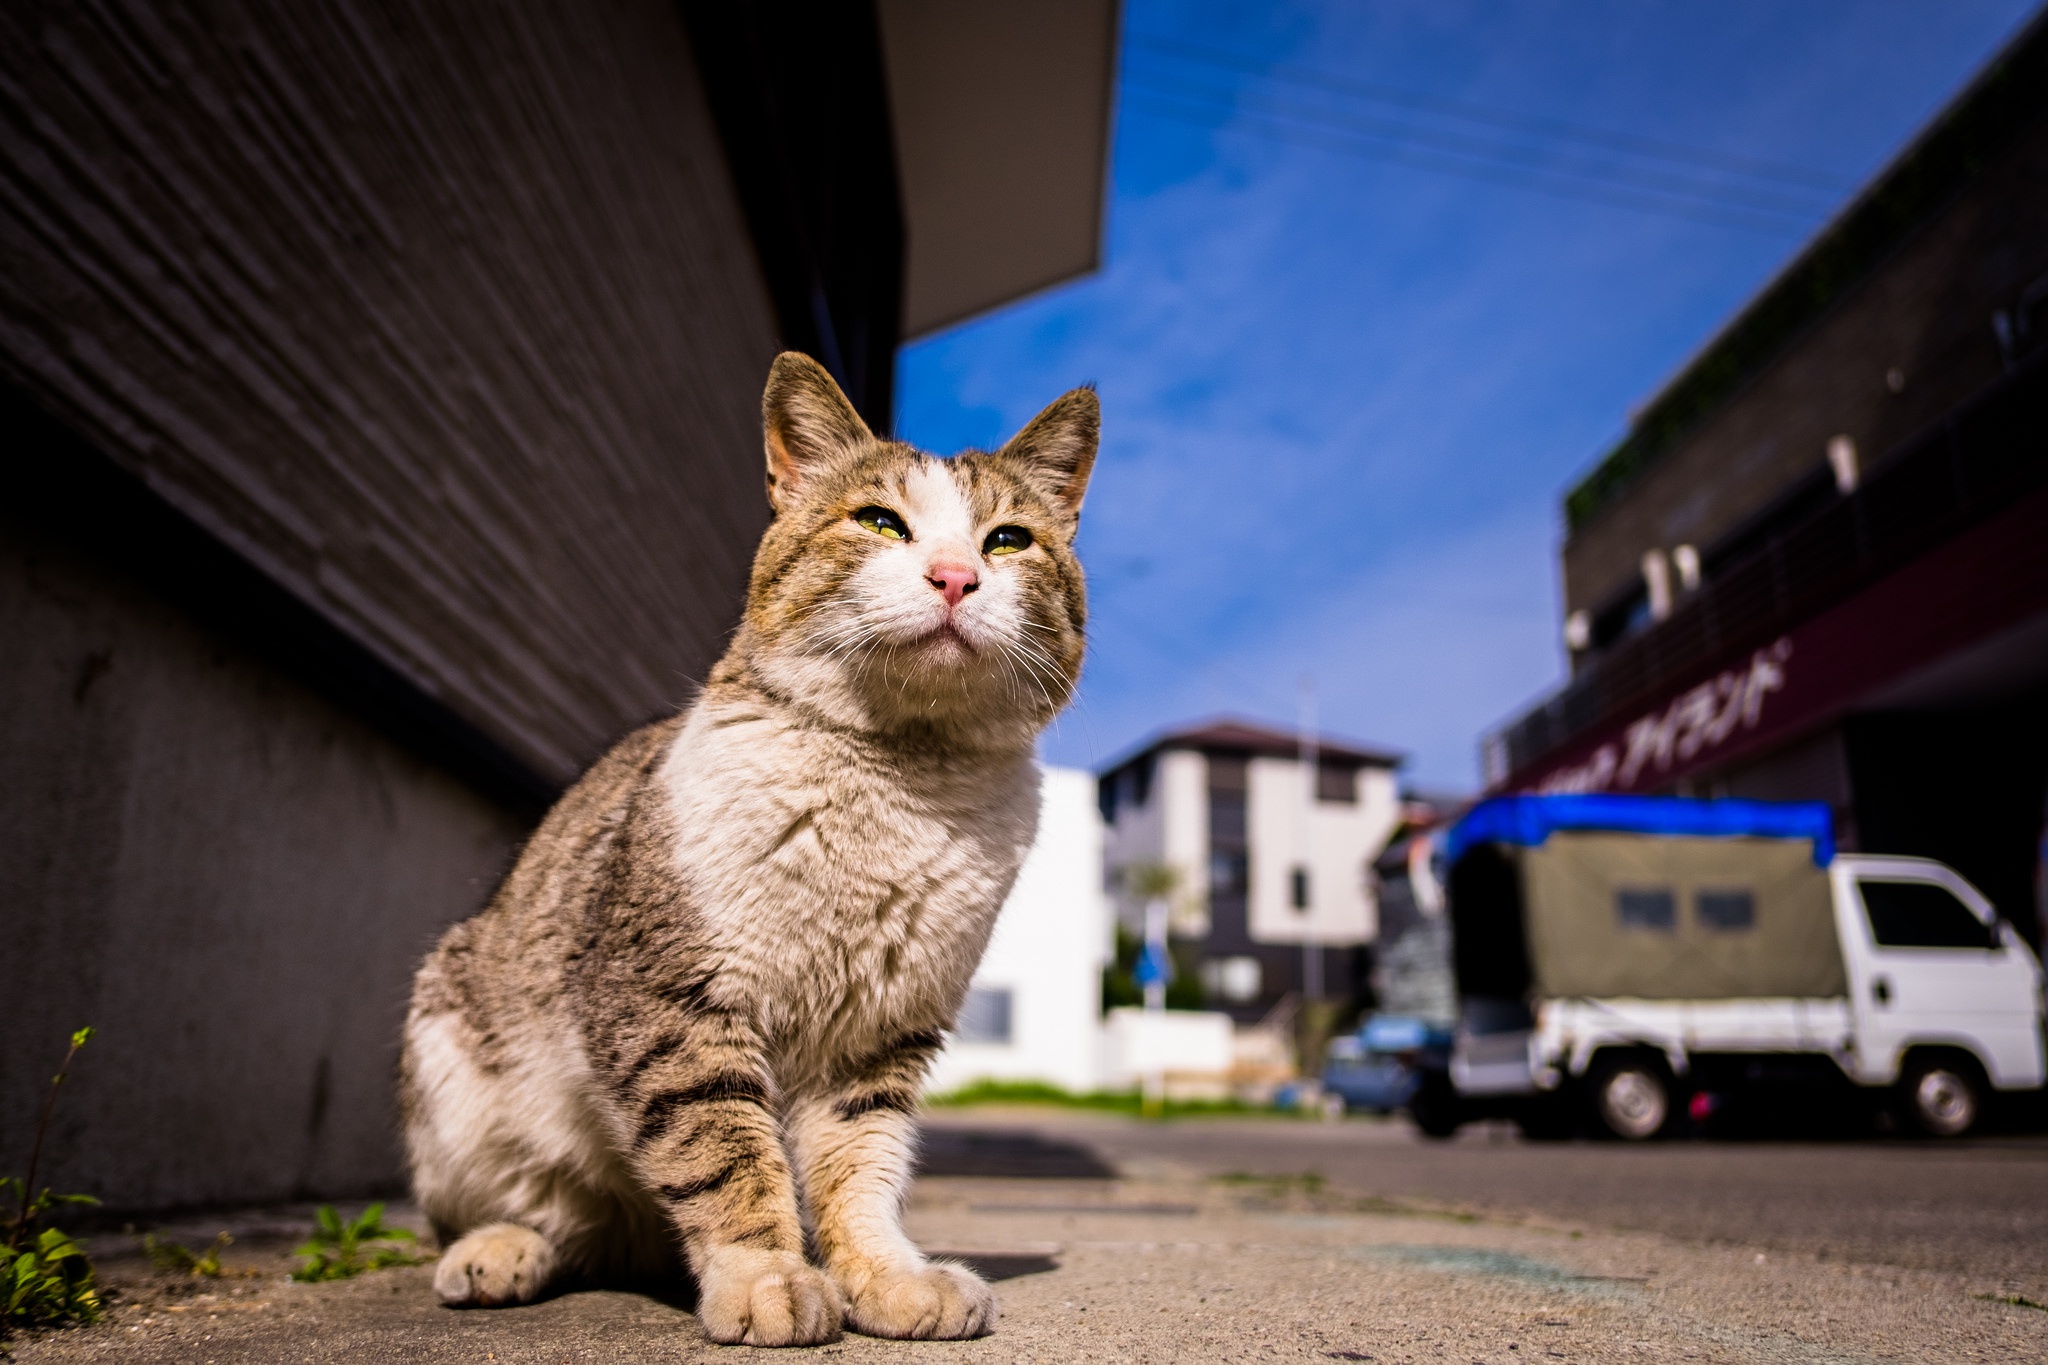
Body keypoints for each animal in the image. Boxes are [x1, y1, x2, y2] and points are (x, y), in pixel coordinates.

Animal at [403, 349, 1105, 1342]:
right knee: (524, 1206)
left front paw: (884, 1275)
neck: (899, 781)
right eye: (879, 521)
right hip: (453, 1068)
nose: (954, 577)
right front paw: (768, 1276)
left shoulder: (880, 1033)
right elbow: (722, 1149)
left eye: (1007, 540)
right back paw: (498, 1249)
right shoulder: (673, 999)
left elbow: (860, 1165)